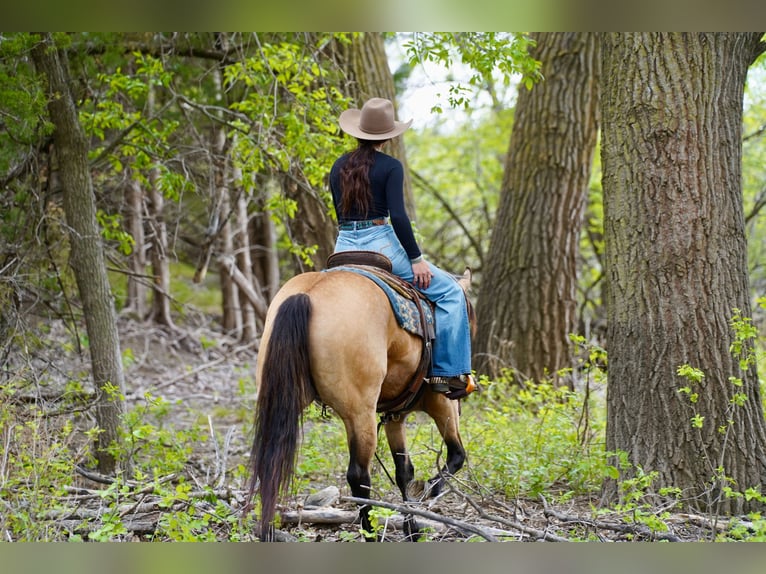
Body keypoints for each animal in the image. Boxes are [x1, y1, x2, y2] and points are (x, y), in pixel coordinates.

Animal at [246, 264, 475, 541]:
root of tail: (308, 294)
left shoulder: (395, 415)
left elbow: (404, 471)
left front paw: (412, 529)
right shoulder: (441, 403)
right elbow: (456, 455)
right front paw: (429, 490)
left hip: (282, 398)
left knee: (270, 460)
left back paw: (267, 530)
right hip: (360, 415)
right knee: (358, 476)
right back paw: (371, 534)